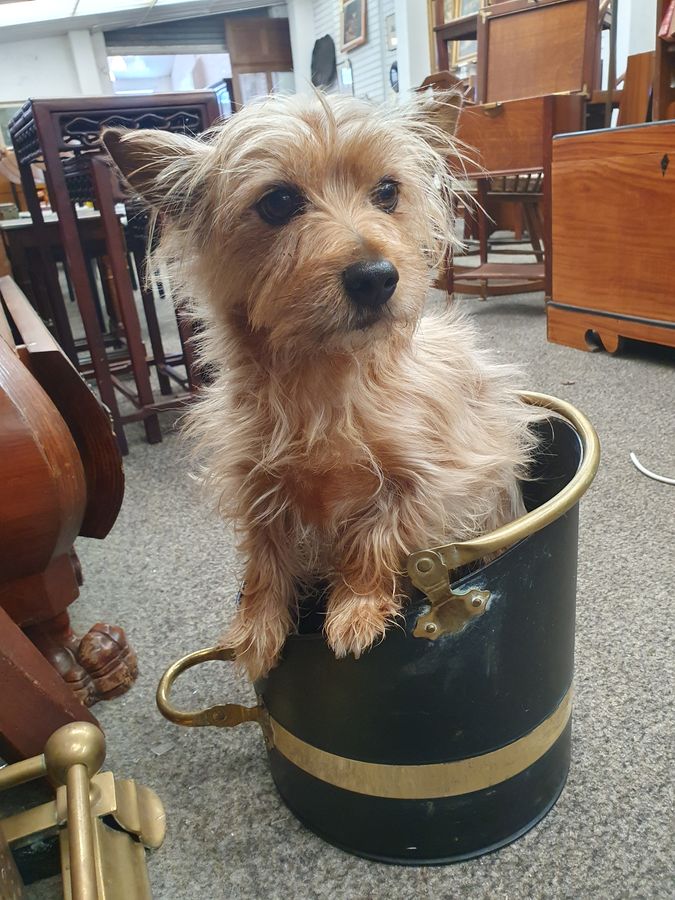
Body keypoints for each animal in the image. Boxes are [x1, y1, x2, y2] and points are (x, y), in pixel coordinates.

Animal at [104, 95, 540, 680]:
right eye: (278, 202)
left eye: (387, 192)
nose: (376, 277)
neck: (323, 376)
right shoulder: (255, 483)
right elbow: (264, 556)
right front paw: (256, 628)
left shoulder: (440, 476)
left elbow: (375, 534)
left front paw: (354, 608)